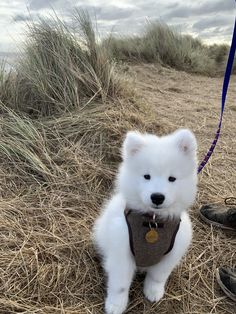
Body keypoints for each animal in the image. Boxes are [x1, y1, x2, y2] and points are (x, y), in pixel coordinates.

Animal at [92, 129, 197, 312]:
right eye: (147, 176)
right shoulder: (121, 254)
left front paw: (153, 292)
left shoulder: (170, 255)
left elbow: (157, 277)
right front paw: (115, 305)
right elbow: (120, 285)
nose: (157, 197)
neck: (153, 221)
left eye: (172, 178)